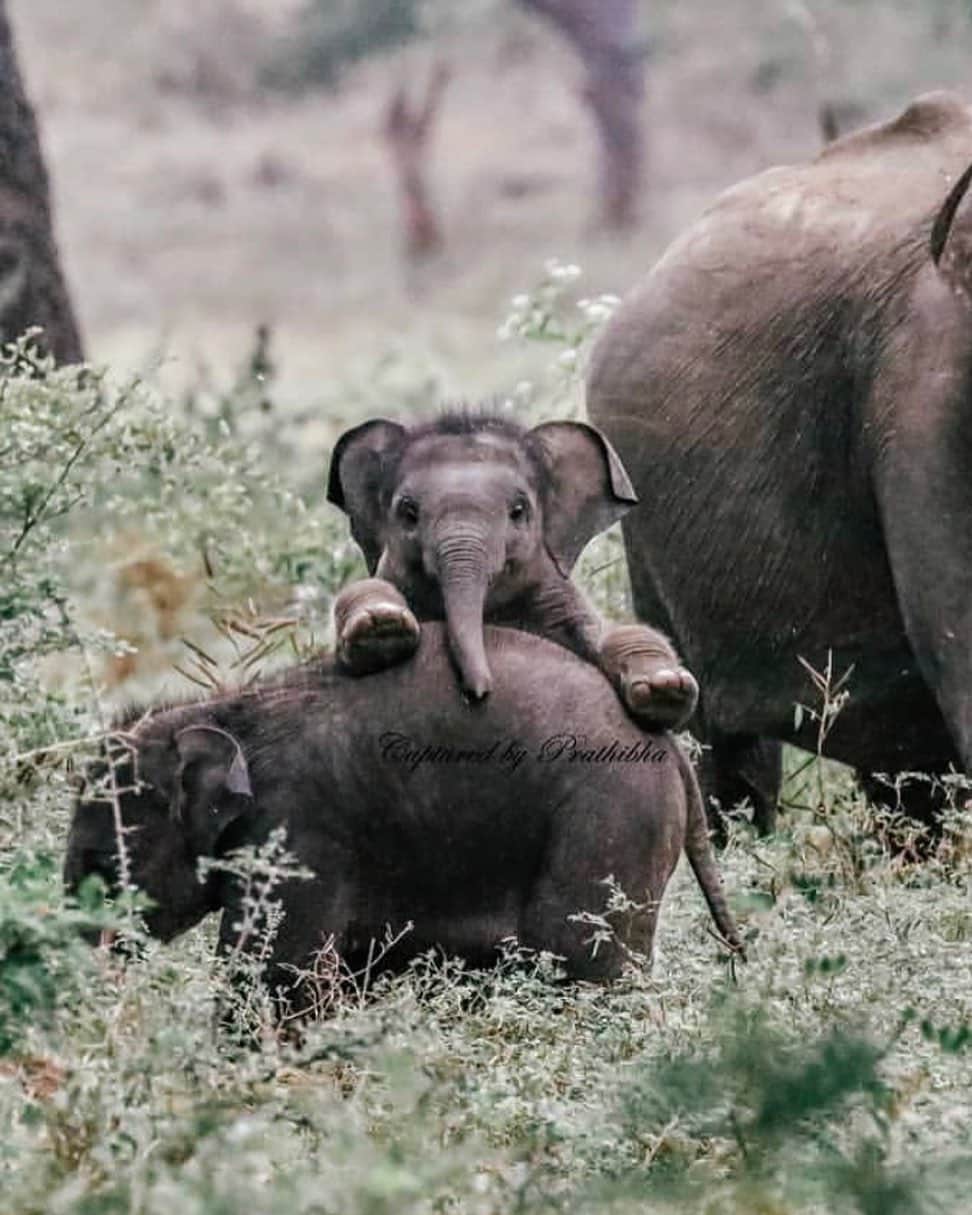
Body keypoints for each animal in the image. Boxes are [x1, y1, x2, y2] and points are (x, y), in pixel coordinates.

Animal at [64, 624, 742, 1014]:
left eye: (103, 865)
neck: (226, 709)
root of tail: (669, 748)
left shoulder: (297, 831)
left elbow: (279, 974)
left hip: (609, 822)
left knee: (584, 970)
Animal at [325, 409, 698, 732]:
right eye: (408, 512)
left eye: (518, 510)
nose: (477, 694)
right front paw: (381, 625)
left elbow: (612, 637)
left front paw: (665, 686)